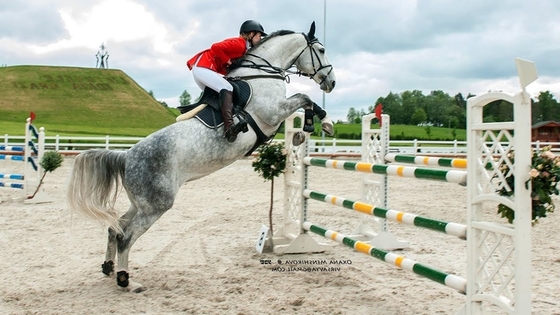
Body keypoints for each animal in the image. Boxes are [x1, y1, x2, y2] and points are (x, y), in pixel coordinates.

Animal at [65, 22, 336, 294]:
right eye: (322, 50)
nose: (331, 83)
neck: (261, 73)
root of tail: (127, 155)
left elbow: (303, 102)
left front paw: (306, 131)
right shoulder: (273, 112)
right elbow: (304, 98)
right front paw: (322, 123)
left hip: (140, 203)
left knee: (115, 226)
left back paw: (109, 268)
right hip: (156, 205)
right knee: (126, 236)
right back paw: (126, 280)